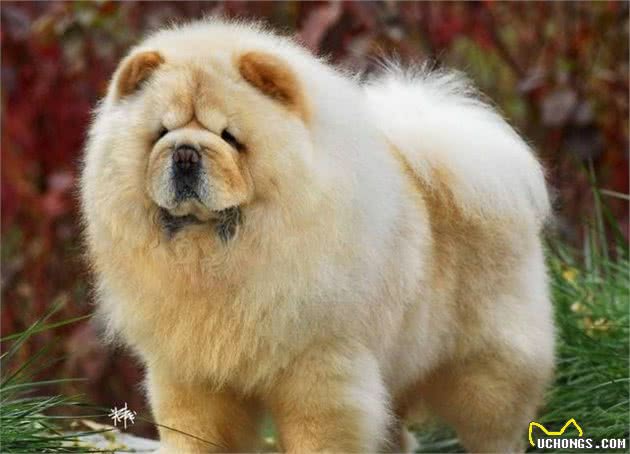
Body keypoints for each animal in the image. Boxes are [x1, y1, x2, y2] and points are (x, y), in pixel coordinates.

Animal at [80, 18, 555, 453]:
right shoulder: (189, 375)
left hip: (488, 371)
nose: (184, 154)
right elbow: (194, 435)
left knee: (495, 429)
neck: (217, 258)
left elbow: (318, 434)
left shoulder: (318, 370)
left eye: (230, 137)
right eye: (160, 134)